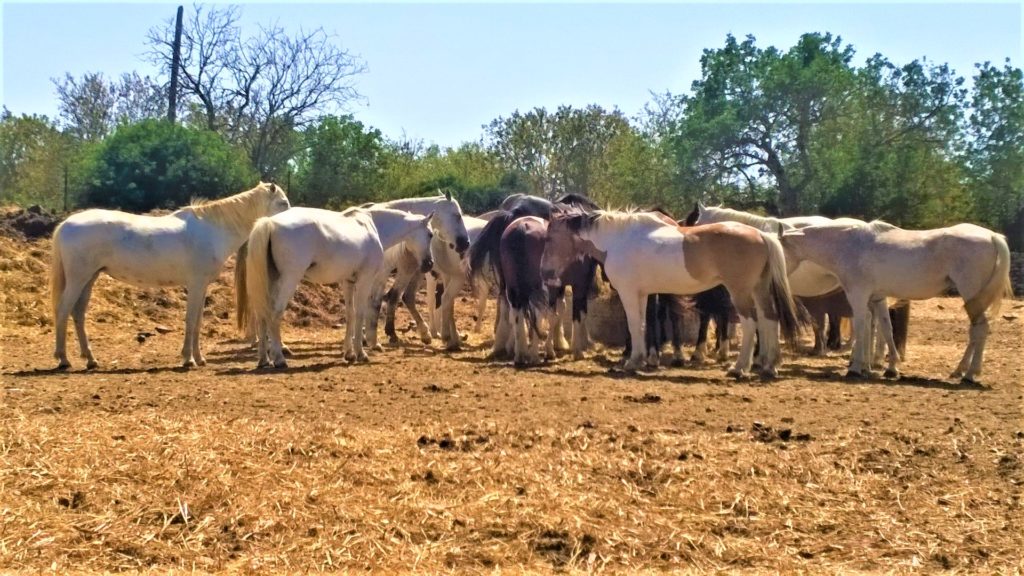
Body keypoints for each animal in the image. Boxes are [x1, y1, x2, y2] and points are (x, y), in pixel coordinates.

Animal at [52, 180, 292, 366]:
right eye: (283, 203)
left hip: (89, 278)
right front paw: (188, 359)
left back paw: (90, 359)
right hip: (78, 278)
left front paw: (199, 358)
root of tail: (66, 223)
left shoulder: (202, 286)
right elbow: (190, 320)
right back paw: (63, 359)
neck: (213, 229)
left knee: (78, 313)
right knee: (63, 311)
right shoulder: (195, 284)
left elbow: (198, 321)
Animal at [242, 206, 432, 366]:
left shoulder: (348, 282)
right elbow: (360, 314)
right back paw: (279, 358)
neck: (371, 226)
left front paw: (349, 353)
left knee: (262, 316)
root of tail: (270, 222)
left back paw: (264, 360)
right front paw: (361, 353)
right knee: (274, 314)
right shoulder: (364, 280)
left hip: (272, 282)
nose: (429, 264)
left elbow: (350, 314)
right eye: (430, 234)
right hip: (289, 281)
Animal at [540, 211, 802, 377]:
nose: (545, 271)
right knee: (770, 320)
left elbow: (634, 326)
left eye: (550, 237)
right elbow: (643, 326)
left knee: (751, 324)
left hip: (740, 292)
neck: (617, 240)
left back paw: (739, 368)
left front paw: (632, 362)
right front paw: (640, 359)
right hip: (759, 290)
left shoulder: (628, 292)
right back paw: (768, 365)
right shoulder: (642, 294)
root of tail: (762, 235)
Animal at [778, 219, 1011, 381]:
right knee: (975, 330)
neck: (850, 246)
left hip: (971, 293)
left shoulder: (858, 296)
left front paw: (856, 368)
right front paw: (889, 368)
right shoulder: (877, 298)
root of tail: (992, 236)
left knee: (980, 329)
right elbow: (885, 329)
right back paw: (960, 370)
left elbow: (861, 328)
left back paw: (970, 374)